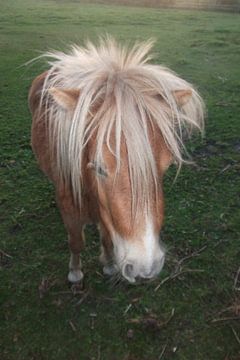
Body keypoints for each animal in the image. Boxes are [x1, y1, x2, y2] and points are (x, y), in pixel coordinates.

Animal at [28, 37, 204, 284]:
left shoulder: (106, 214)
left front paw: (109, 263)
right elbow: (76, 242)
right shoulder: (69, 208)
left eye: (167, 166)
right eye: (99, 167)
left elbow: (108, 238)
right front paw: (75, 272)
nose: (146, 266)